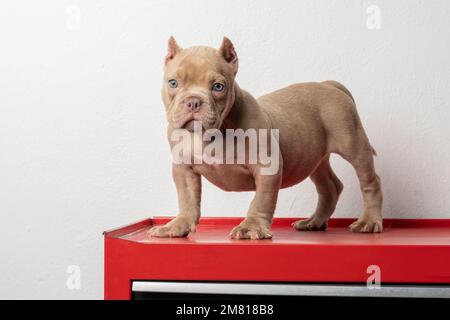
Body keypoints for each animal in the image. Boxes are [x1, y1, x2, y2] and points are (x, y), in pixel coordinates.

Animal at [149, 37, 382, 240]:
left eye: (218, 87)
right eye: (173, 83)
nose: (193, 102)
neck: (210, 135)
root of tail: (329, 84)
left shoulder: (267, 166)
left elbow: (261, 200)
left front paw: (250, 227)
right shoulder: (183, 169)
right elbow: (187, 199)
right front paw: (178, 225)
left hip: (353, 144)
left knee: (370, 180)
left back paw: (368, 221)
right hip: (314, 158)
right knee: (330, 186)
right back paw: (314, 222)